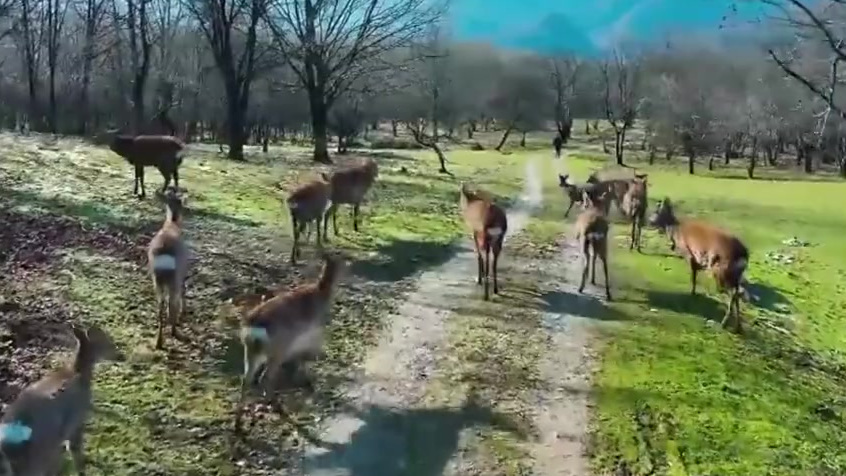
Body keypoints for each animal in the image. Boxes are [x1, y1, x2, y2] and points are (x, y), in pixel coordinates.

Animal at [0, 324, 122, 476]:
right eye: (107, 343)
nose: (121, 356)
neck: (77, 373)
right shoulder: (77, 421)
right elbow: (76, 454)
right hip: (41, 455)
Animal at [148, 189, 190, 349]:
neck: (171, 224)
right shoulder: (183, 270)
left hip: (157, 280)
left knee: (161, 306)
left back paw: (159, 342)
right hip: (173, 279)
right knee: (172, 303)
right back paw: (174, 331)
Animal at [235, 252, 347, 431]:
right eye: (342, 262)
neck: (322, 291)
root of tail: (254, 328)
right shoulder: (314, 326)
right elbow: (307, 350)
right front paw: (308, 377)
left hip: (251, 350)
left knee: (246, 379)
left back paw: (238, 422)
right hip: (278, 348)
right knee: (264, 377)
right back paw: (275, 404)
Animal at [648, 197, 749, 332]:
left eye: (656, 211)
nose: (649, 221)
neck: (675, 232)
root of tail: (743, 254)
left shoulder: (689, 254)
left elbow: (693, 277)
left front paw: (692, 293)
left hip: (721, 270)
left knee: (733, 293)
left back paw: (724, 323)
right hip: (734, 275)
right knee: (737, 293)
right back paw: (738, 326)